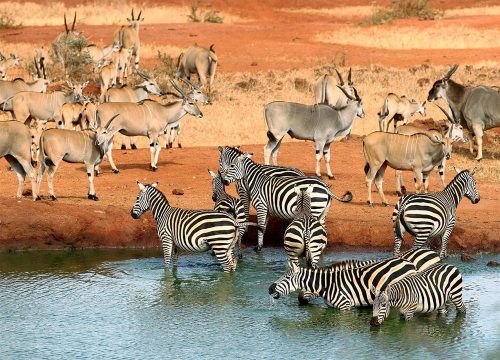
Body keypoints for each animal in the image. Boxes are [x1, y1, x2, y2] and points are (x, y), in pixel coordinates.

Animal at [219, 153, 352, 252]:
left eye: (231, 165)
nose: (223, 181)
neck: (256, 181)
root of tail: (325, 187)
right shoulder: (267, 210)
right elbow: (263, 227)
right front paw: (260, 246)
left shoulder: (261, 206)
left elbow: (260, 227)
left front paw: (258, 248)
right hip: (323, 212)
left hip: (314, 209)